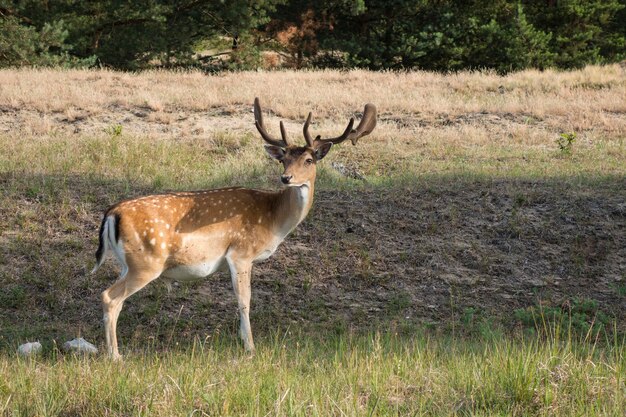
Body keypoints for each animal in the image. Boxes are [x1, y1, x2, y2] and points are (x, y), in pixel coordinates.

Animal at [92, 97, 376, 358]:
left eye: (308, 160)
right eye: (283, 159)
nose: (286, 178)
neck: (273, 219)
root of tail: (112, 213)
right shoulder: (240, 252)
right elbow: (244, 299)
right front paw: (250, 346)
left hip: (127, 263)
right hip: (146, 262)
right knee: (109, 297)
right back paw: (115, 356)